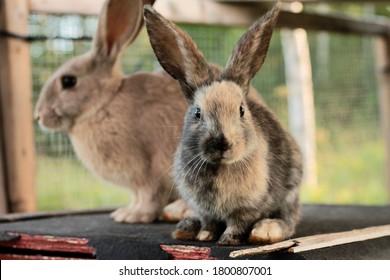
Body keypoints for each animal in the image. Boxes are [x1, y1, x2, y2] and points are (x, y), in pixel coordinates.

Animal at [34, 0, 190, 224]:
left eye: (68, 81)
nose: (39, 116)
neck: (103, 104)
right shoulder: (136, 184)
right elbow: (137, 196)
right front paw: (124, 212)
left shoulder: (149, 171)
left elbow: (150, 196)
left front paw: (133, 216)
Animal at [145, 1, 304, 244]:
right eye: (197, 112)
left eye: (241, 110)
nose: (221, 143)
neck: (219, 167)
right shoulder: (205, 209)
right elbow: (209, 222)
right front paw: (205, 236)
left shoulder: (246, 209)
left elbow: (237, 224)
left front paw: (227, 240)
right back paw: (186, 227)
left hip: (290, 192)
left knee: (289, 219)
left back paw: (265, 231)